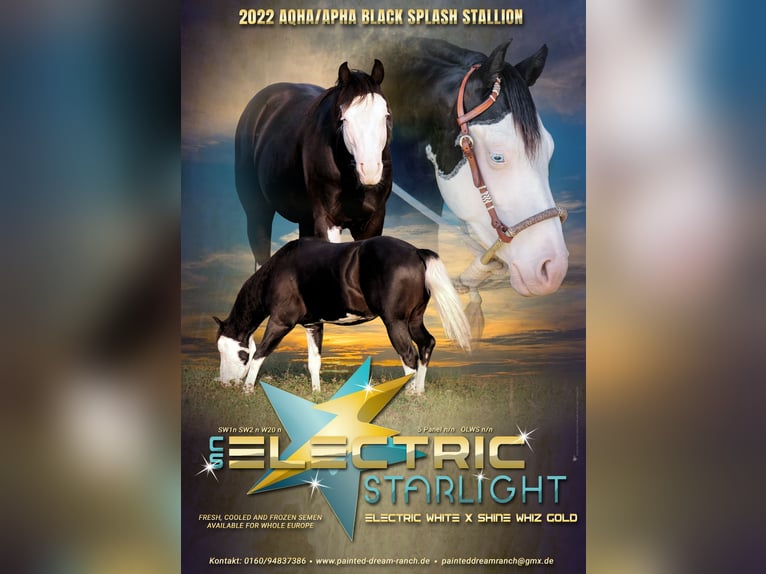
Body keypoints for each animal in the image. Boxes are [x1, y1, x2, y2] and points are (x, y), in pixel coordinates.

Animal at [213, 236, 471, 396]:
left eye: (239, 353)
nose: (225, 384)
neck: (280, 269)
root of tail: (417, 252)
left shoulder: (280, 322)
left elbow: (260, 354)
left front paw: (247, 390)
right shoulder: (313, 325)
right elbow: (314, 362)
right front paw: (316, 394)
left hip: (395, 323)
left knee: (409, 356)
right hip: (414, 320)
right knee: (426, 344)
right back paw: (418, 393)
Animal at [235, 60, 392, 268]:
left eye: (386, 116)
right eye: (344, 119)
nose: (370, 171)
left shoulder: (372, 221)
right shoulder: (327, 220)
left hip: (305, 220)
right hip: (257, 210)